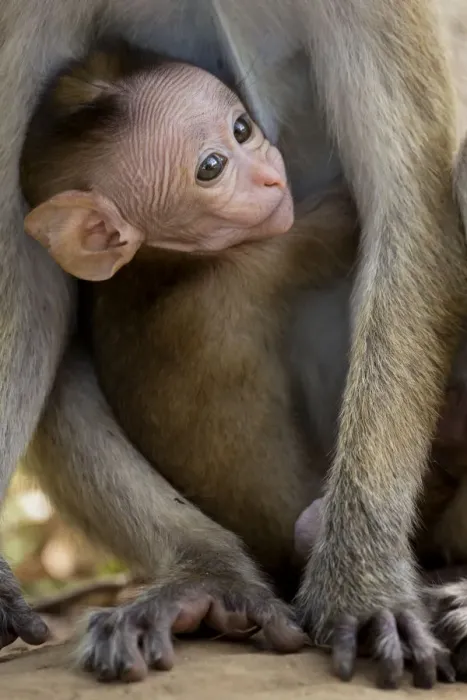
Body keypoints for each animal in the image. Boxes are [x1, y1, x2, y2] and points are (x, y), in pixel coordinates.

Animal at [2, 0, 467, 689]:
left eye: (242, 128)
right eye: (212, 167)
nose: (270, 176)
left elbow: (407, 202)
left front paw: (361, 580)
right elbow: (27, 273)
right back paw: (207, 575)